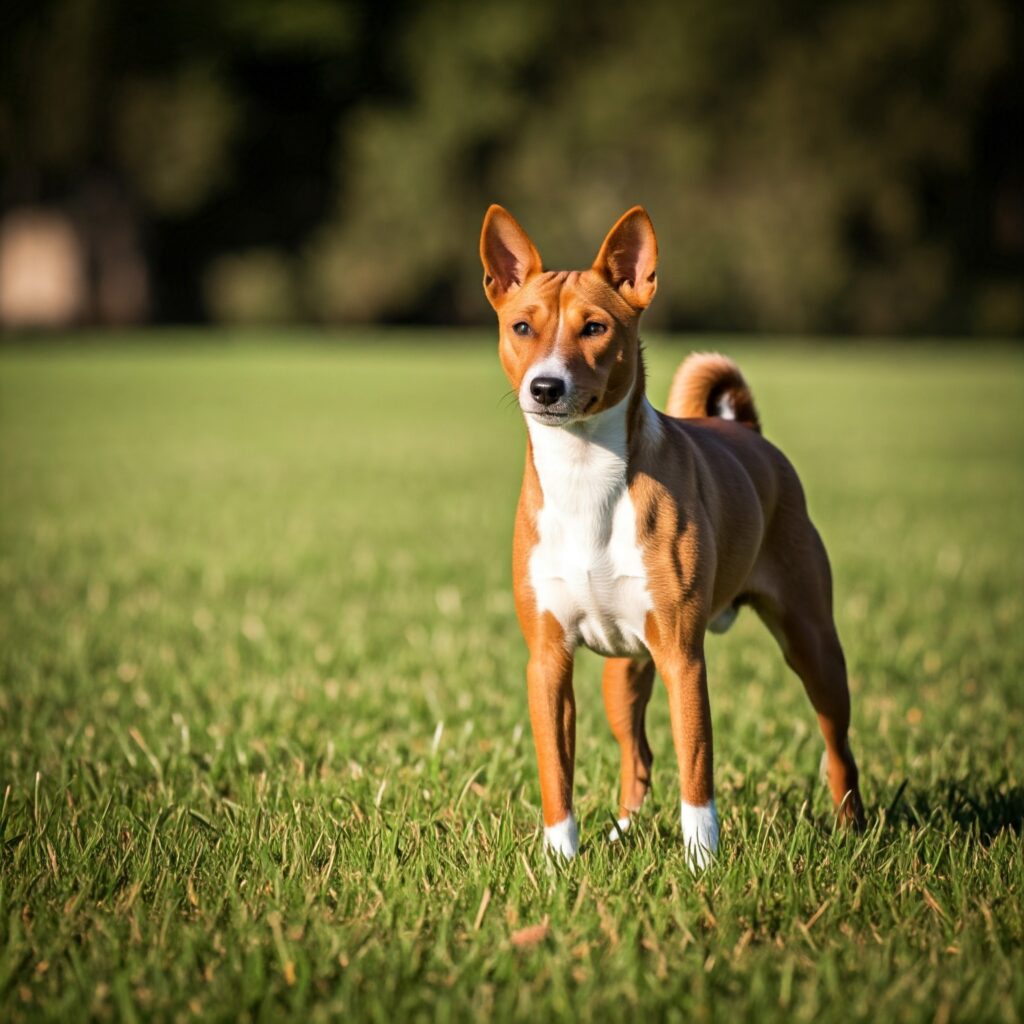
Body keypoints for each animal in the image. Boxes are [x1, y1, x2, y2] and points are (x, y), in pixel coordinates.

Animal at [479, 203, 864, 860]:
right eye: (522, 327)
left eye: (595, 328)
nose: (546, 387)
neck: (584, 478)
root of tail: (747, 430)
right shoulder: (548, 659)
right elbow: (557, 771)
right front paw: (559, 862)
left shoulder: (684, 657)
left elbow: (697, 767)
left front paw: (703, 863)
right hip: (624, 671)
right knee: (637, 758)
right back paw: (621, 831)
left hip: (813, 644)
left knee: (838, 748)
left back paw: (853, 831)